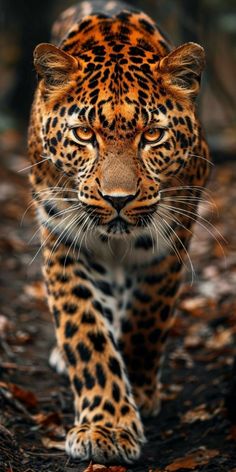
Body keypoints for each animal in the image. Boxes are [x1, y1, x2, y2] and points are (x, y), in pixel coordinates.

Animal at [27, 0, 210, 464]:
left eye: (153, 135)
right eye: (84, 134)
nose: (118, 199)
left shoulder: (172, 237)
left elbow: (148, 315)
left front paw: (140, 388)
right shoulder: (64, 241)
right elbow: (86, 332)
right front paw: (106, 426)